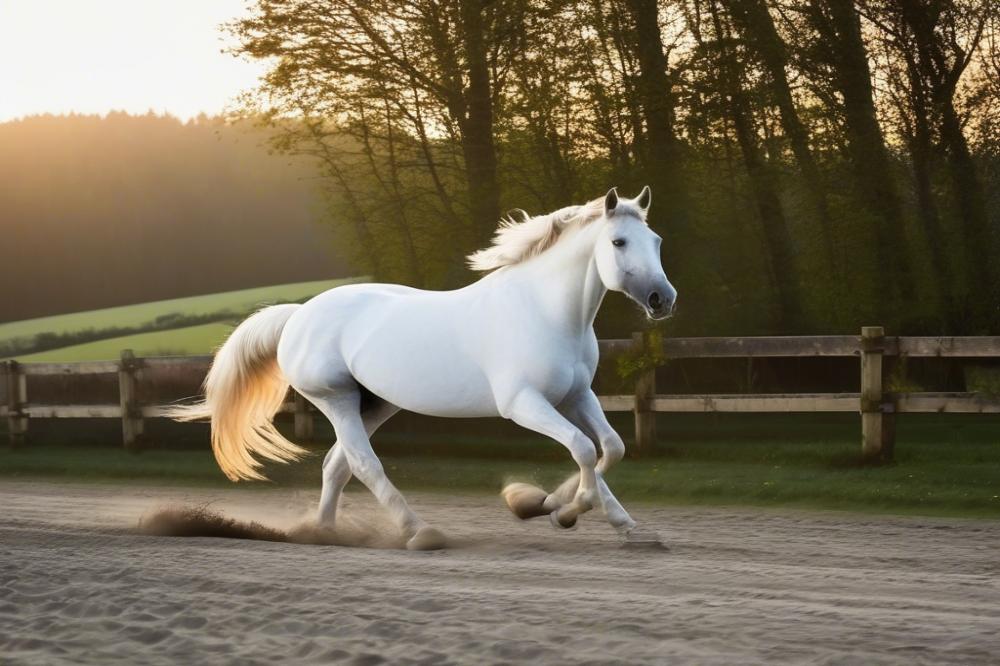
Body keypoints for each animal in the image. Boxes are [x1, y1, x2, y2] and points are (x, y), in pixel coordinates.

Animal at [172, 188, 680, 548]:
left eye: (656, 241)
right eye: (618, 241)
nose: (663, 299)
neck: (544, 312)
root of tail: (298, 315)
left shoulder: (576, 397)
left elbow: (608, 449)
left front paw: (614, 524)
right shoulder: (524, 404)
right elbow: (582, 448)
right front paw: (555, 508)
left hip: (375, 404)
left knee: (337, 465)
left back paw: (324, 532)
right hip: (336, 399)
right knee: (363, 464)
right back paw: (419, 532)